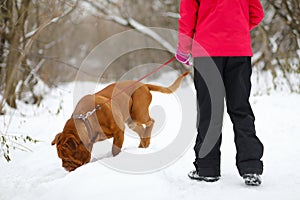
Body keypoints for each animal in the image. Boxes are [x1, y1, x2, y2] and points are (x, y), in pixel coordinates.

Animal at [51, 71, 188, 171]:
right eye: (60, 157)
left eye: (67, 158)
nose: (64, 167)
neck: (87, 120)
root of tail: (143, 84)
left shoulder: (118, 132)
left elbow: (115, 150)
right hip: (131, 121)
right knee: (141, 129)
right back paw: (142, 145)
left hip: (138, 113)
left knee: (151, 122)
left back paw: (146, 140)